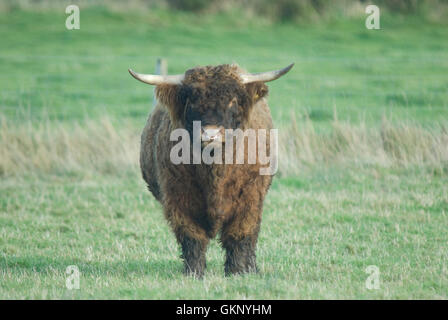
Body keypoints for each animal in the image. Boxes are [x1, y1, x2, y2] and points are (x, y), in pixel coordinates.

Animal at [129, 63, 294, 278]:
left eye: (233, 101)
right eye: (191, 101)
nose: (210, 134)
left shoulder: (250, 199)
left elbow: (240, 235)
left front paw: (237, 271)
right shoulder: (178, 199)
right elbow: (192, 237)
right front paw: (194, 272)